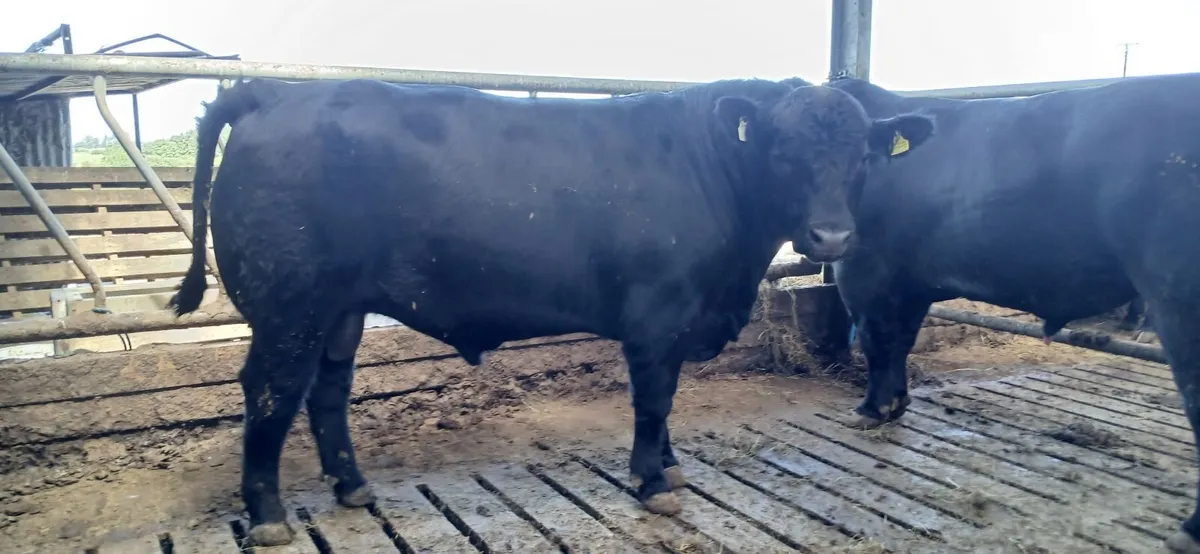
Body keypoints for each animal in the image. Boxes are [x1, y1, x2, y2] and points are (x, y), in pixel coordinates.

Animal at [167, 76, 935, 546]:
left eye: (865, 154)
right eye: (783, 148)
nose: (831, 238)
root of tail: (274, 93)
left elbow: (667, 405)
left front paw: (669, 467)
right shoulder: (656, 316)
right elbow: (655, 399)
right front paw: (653, 480)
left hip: (340, 311)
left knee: (326, 392)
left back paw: (353, 488)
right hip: (289, 307)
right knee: (270, 392)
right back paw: (268, 516)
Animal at [823, 73, 1200, 553]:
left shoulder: (863, 269)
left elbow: (876, 341)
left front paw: (871, 409)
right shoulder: (910, 281)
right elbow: (899, 342)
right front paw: (896, 404)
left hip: (1180, 298)